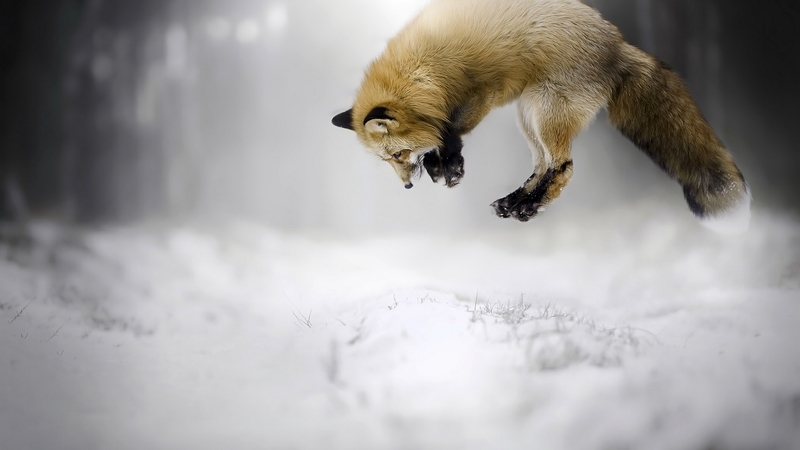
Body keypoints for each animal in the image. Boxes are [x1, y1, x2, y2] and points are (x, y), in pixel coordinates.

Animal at [332, 0, 751, 234]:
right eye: (388, 161)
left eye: (397, 155)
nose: (406, 187)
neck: (429, 71)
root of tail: (617, 43)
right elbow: (446, 132)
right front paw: (444, 165)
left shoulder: (482, 92)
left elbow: (451, 130)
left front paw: (447, 166)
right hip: (529, 117)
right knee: (542, 165)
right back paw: (516, 203)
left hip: (545, 111)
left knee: (563, 167)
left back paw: (529, 206)